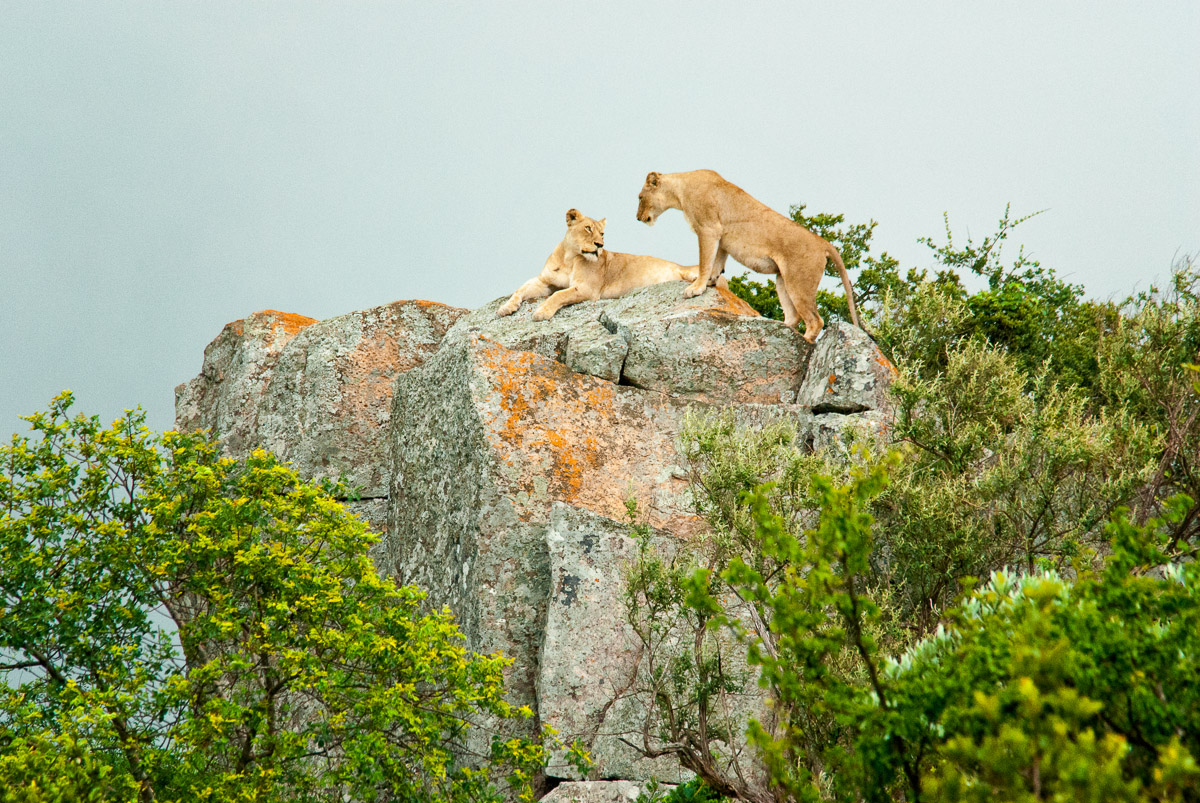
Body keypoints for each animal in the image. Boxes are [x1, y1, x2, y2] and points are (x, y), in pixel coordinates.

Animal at [497, 208, 712, 321]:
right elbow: (520, 290)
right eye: (588, 228)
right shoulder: (545, 282)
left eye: (602, 233)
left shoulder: (587, 288)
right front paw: (506, 308)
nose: (600, 245)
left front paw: (542, 312)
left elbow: (560, 294)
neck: (569, 258)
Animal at [636, 169, 860, 343]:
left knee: (815, 321)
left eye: (639, 197)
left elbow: (705, 261)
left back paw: (802, 344)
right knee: (793, 317)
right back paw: (777, 330)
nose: (637, 218)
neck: (680, 191)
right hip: (783, 280)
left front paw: (696, 288)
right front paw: (710, 282)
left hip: (799, 283)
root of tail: (823, 242)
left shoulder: (708, 229)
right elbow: (716, 263)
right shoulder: (721, 238)